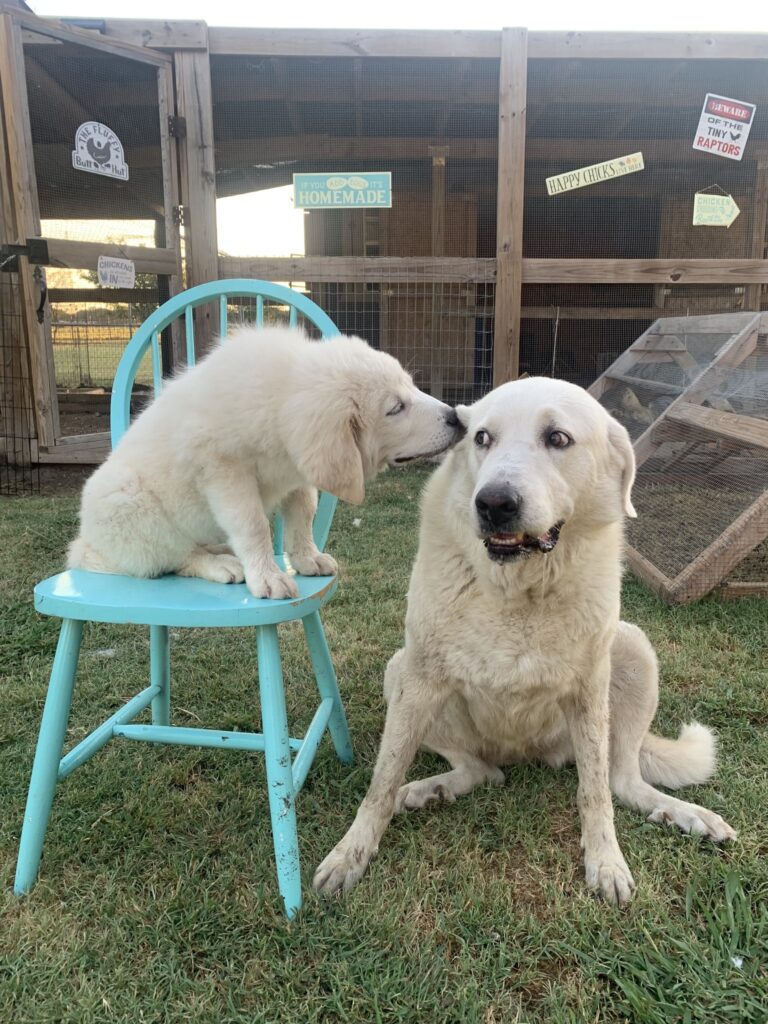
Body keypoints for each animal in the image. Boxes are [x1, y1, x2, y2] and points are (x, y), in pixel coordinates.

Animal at [69, 327, 460, 598]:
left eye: (411, 388)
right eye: (395, 408)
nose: (456, 417)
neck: (280, 397)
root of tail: (84, 547)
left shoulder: (298, 472)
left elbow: (303, 514)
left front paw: (306, 558)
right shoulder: (224, 471)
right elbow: (253, 524)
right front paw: (269, 576)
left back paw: (223, 549)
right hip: (133, 505)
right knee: (175, 558)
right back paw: (221, 563)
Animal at [315, 376, 737, 905]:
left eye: (557, 438)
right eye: (481, 438)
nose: (494, 503)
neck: (521, 586)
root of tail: (522, 756)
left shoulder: (589, 690)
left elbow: (594, 793)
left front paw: (605, 861)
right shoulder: (421, 678)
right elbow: (381, 782)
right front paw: (351, 854)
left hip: (633, 650)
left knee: (622, 781)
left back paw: (686, 815)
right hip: (401, 672)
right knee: (482, 771)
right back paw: (430, 789)